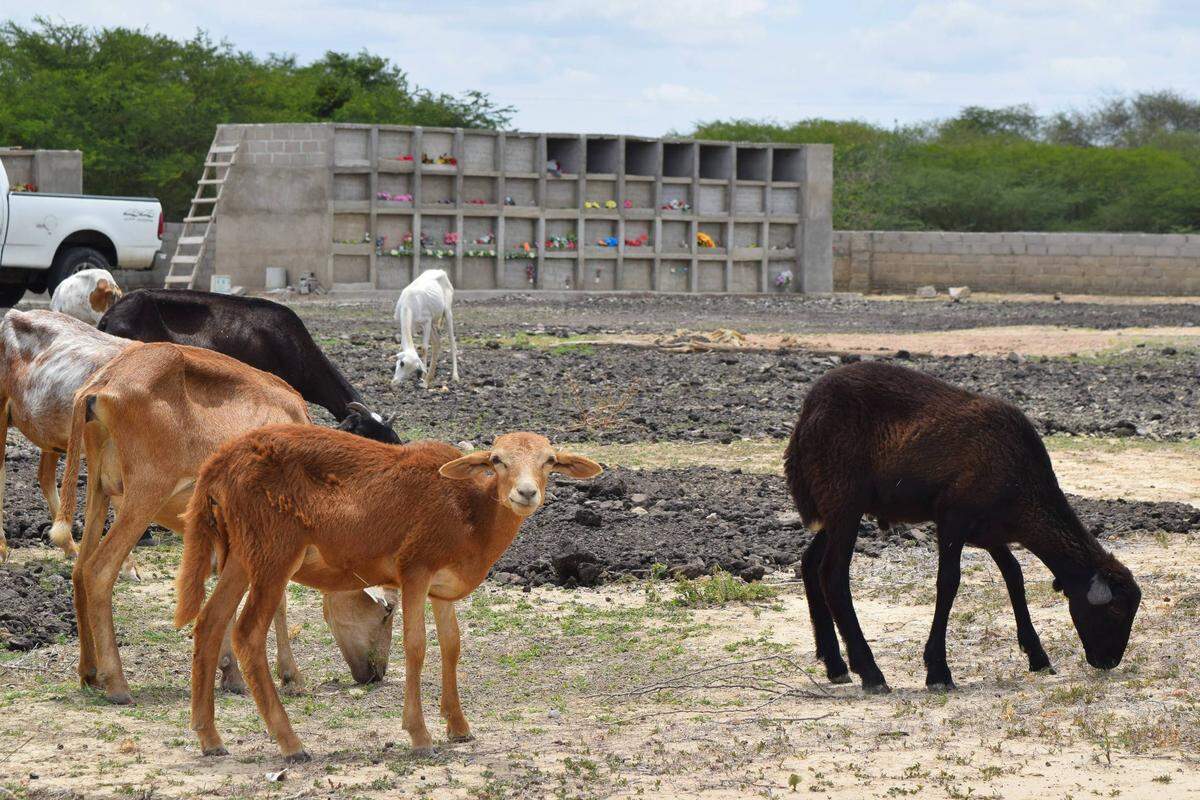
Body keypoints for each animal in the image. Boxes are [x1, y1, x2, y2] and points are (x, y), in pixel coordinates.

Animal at [52, 342, 394, 705]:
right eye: (388, 610)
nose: (376, 673)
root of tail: (100, 386)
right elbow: (277, 598)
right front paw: (291, 677)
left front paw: (231, 674)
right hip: (144, 495)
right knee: (98, 570)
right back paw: (117, 684)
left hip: (99, 491)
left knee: (79, 570)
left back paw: (89, 673)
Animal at [175, 427, 601, 762]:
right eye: (497, 460)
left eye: (549, 460)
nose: (525, 493)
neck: (469, 511)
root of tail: (220, 461)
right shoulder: (414, 569)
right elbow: (416, 645)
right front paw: (420, 735)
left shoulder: (441, 589)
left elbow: (452, 645)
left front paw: (459, 726)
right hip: (273, 552)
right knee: (246, 633)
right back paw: (291, 743)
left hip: (241, 553)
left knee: (209, 622)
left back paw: (209, 738)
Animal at [785, 361, 1141, 693]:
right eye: (1116, 611)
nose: (1109, 662)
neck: (1024, 487)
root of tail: (808, 411)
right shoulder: (953, 519)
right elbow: (949, 583)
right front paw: (938, 672)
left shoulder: (990, 530)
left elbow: (1014, 576)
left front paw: (1037, 656)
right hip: (843, 498)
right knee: (833, 575)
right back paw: (870, 673)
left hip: (837, 505)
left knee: (810, 563)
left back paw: (835, 664)